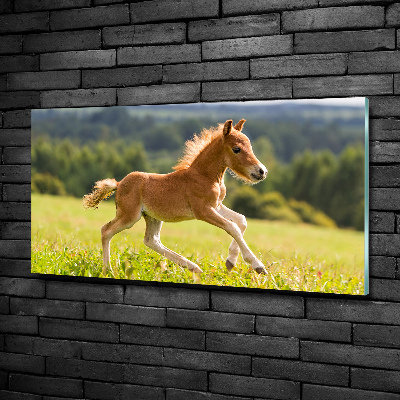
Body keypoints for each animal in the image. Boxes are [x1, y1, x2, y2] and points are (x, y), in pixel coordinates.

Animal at [83, 119, 268, 276]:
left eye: (250, 147)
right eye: (236, 149)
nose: (261, 171)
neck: (205, 176)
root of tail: (119, 183)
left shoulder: (216, 205)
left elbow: (242, 220)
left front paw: (230, 261)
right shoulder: (203, 210)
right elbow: (232, 227)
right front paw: (258, 266)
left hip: (152, 216)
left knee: (151, 240)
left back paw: (194, 268)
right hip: (130, 215)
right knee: (106, 230)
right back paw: (107, 270)